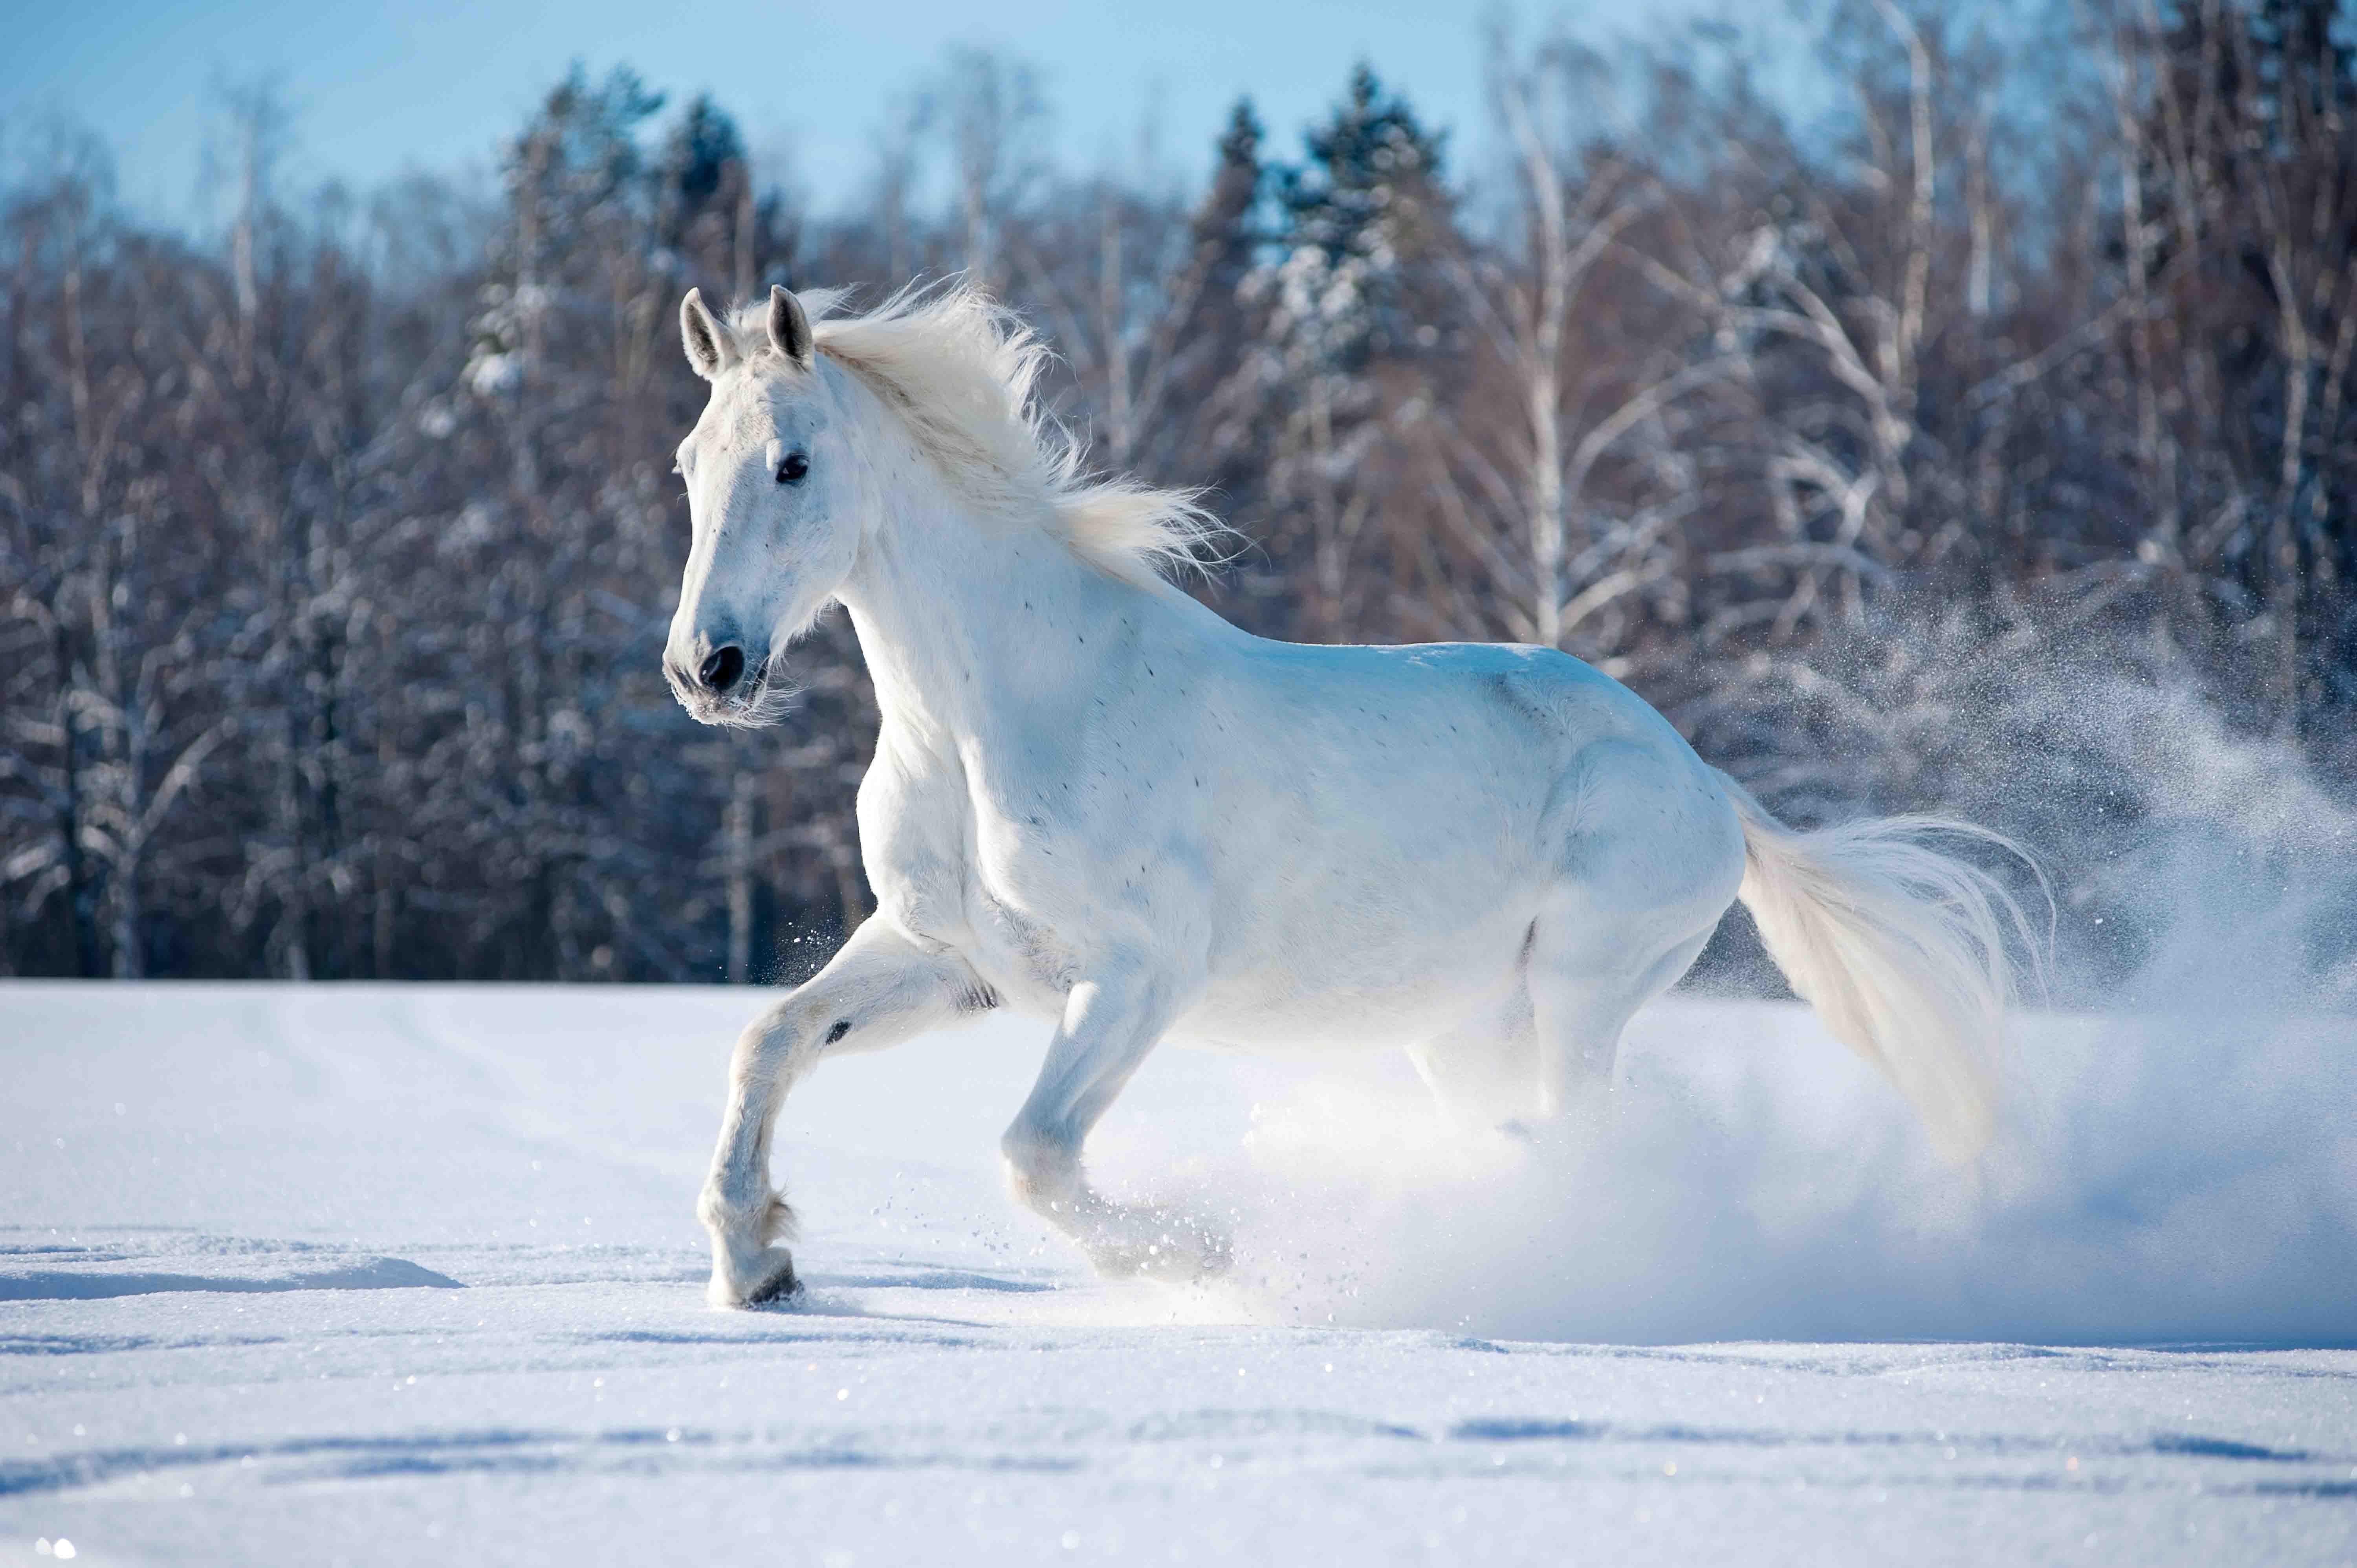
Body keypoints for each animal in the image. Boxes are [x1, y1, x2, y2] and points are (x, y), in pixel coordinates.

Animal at [664, 280, 2037, 1309]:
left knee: (1586, 1139)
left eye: (792, 463)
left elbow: (1035, 1156)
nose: (706, 668)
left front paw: (1202, 1253)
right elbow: (768, 1040)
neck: (993, 713)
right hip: (1465, 1031)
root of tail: (1706, 782)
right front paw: (759, 1264)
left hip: (1582, 988)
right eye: (688, 464)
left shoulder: (1140, 972)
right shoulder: (951, 957)